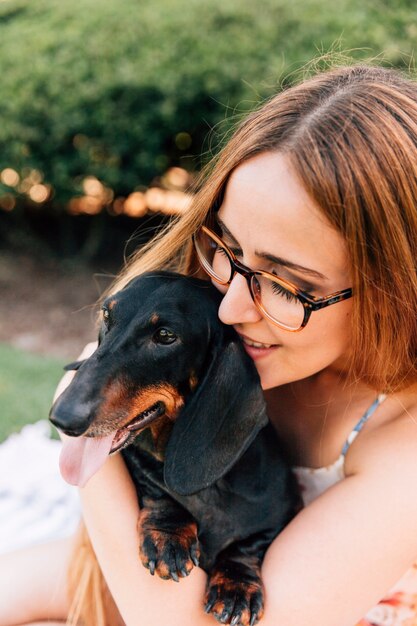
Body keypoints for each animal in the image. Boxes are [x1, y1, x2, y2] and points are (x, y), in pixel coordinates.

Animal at [49, 272, 296, 624]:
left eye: (165, 335)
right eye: (107, 316)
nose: (62, 418)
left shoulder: (282, 510)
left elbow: (249, 544)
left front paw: (237, 586)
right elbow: (156, 486)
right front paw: (168, 535)